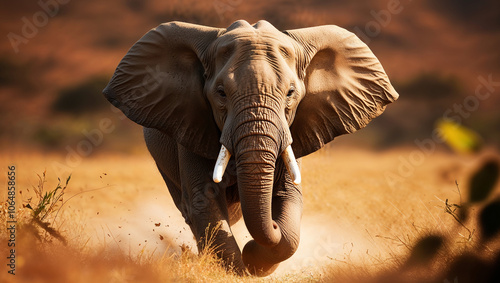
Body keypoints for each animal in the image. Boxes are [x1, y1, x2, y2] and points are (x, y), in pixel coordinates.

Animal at [101, 20, 398, 278]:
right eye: (221, 93)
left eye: (290, 93)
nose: (272, 226)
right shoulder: (190, 123)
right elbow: (203, 201)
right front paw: (241, 265)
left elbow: (288, 196)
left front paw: (256, 254)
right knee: (188, 209)